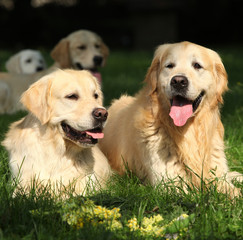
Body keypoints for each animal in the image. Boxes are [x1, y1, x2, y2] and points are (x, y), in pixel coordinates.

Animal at [99, 41, 242, 197]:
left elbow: (233, 191)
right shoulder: (170, 184)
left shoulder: (218, 176)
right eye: (170, 65)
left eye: (197, 65)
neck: (186, 131)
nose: (178, 81)